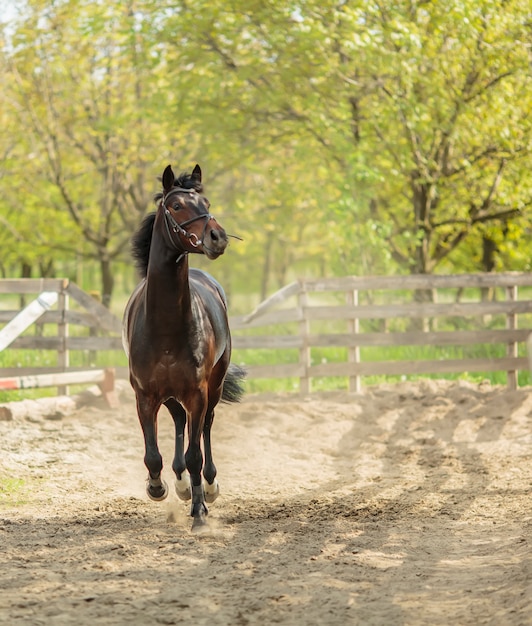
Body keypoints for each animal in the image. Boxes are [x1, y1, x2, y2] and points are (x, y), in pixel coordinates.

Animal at [121, 163, 244, 528]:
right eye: (176, 206)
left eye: (206, 201)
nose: (217, 237)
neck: (165, 327)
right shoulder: (145, 395)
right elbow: (152, 454)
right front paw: (157, 487)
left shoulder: (197, 393)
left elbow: (194, 454)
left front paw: (200, 511)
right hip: (172, 395)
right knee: (178, 423)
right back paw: (179, 484)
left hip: (212, 388)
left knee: (204, 429)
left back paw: (208, 486)